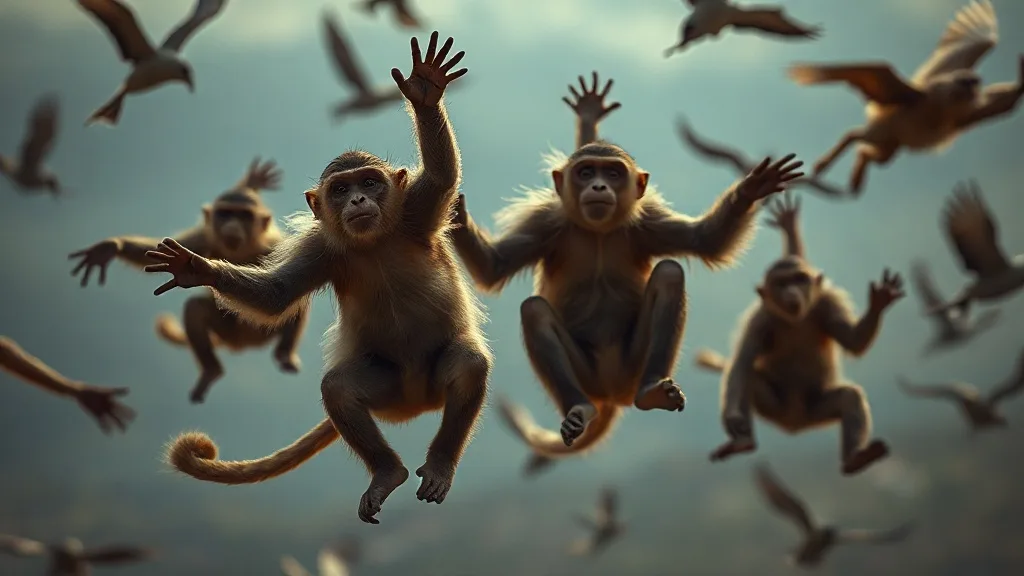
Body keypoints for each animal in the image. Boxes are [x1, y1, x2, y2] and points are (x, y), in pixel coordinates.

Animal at [67, 157, 309, 404]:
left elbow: (281, 289)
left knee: (295, 305)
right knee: (196, 308)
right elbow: (157, 251)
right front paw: (112, 247)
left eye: (244, 216)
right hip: (229, 331)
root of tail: (241, 345)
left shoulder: (274, 244)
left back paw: (284, 354)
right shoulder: (205, 238)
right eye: (226, 213)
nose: (232, 225)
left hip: (261, 332)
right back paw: (211, 370)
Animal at [147, 32, 486, 526]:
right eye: (341, 189)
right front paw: (196, 268)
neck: (375, 243)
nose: (359, 200)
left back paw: (440, 463)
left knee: (467, 363)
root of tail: (416, 403)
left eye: (370, 182)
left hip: (428, 382)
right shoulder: (322, 251)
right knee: (340, 389)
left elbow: (442, 176)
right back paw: (387, 472)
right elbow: (277, 295)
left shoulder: (415, 213)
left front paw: (425, 91)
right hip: (389, 388)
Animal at [455, 121, 803, 463]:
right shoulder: (544, 223)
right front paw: (457, 213)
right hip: (589, 377)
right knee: (534, 310)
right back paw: (579, 408)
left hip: (631, 368)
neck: (598, 232)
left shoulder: (648, 221)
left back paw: (652, 391)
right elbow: (494, 267)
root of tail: (611, 394)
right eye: (586, 172)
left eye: (612, 173)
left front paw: (752, 189)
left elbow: (704, 241)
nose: (598, 187)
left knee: (669, 273)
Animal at [703, 192, 905, 475]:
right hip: (778, 409)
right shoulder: (760, 319)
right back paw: (744, 442)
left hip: (815, 410)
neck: (796, 320)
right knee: (751, 379)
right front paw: (732, 416)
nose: (791, 292)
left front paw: (879, 301)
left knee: (849, 398)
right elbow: (742, 363)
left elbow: (853, 341)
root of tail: (795, 425)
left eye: (799, 279)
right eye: (781, 283)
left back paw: (855, 458)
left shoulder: (826, 303)